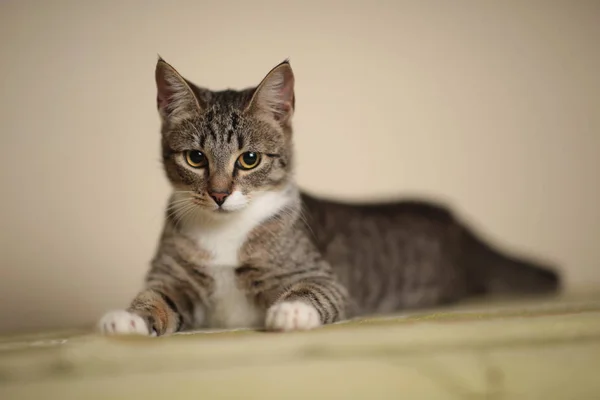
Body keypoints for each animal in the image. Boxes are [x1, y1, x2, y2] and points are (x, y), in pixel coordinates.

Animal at [96, 57, 560, 336]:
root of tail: (456, 222)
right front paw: (129, 316)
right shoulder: (173, 277)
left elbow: (313, 290)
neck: (225, 233)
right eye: (195, 158)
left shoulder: (321, 274)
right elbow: (156, 297)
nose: (220, 194)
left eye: (249, 159)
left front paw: (292, 311)